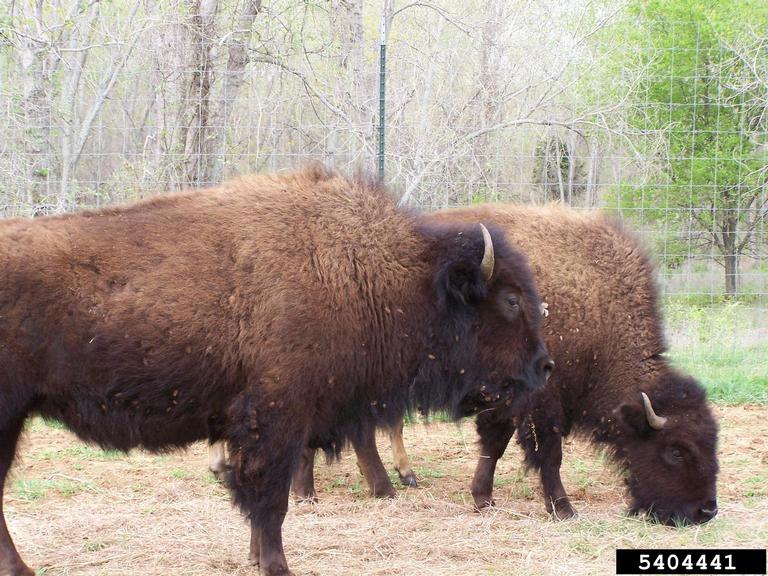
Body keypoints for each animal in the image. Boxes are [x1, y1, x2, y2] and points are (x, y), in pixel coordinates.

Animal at [0, 168, 552, 576]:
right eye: (510, 300)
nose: (544, 365)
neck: (371, 272)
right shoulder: (275, 419)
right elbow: (271, 500)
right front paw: (276, 565)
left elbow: (257, 498)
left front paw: (253, 558)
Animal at [286, 204, 719, 526]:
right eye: (676, 450)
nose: (705, 511)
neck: (594, 304)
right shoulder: (541, 403)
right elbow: (547, 454)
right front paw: (563, 509)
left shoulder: (509, 401)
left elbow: (494, 445)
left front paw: (483, 499)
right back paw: (331, 492)